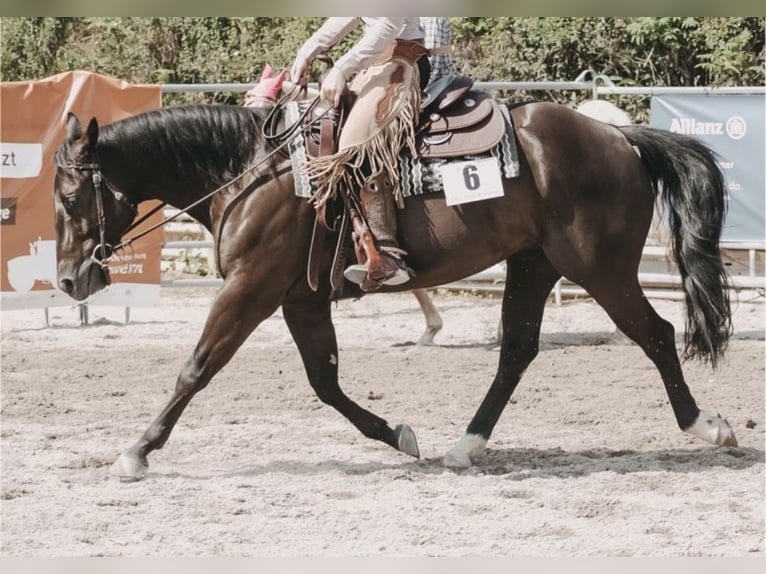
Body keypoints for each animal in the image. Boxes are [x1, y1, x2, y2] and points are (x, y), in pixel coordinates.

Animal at [54, 93, 736, 482]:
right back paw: (464, 447)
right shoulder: (301, 301)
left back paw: (709, 428)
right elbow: (325, 383)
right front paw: (398, 436)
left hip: (602, 269)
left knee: (656, 334)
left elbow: (195, 369)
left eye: (68, 197)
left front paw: (137, 451)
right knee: (517, 351)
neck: (251, 172)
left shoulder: (250, 290)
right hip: (533, 265)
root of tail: (620, 137)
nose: (66, 279)